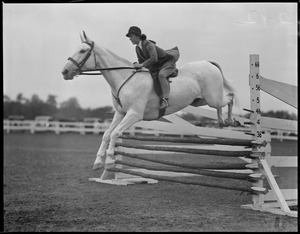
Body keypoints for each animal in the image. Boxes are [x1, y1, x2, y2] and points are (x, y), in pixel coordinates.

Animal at [61, 31, 239, 170]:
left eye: (83, 51)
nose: (65, 72)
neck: (124, 78)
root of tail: (209, 63)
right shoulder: (120, 113)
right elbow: (106, 134)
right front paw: (98, 162)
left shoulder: (134, 114)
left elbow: (115, 133)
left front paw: (110, 161)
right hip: (200, 100)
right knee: (221, 104)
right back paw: (222, 121)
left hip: (212, 98)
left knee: (230, 97)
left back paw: (231, 120)